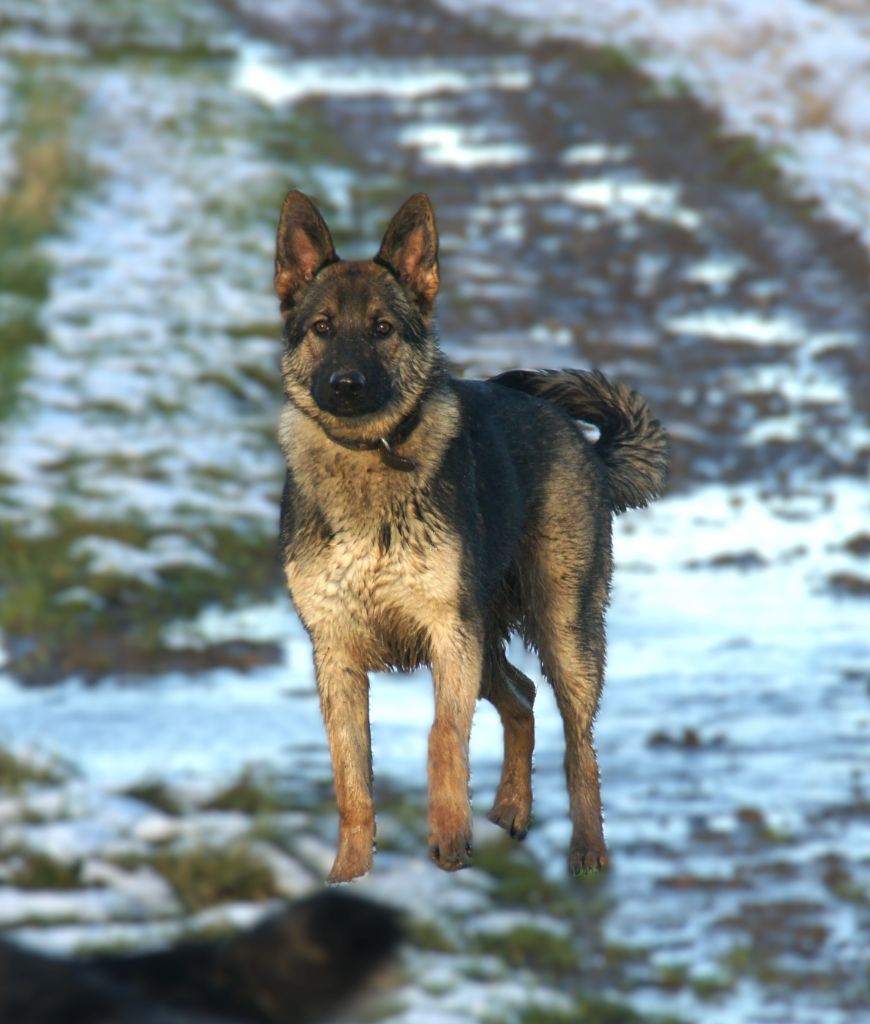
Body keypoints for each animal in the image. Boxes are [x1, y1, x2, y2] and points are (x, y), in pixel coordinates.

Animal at [274, 190, 667, 880]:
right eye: (321, 328)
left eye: (382, 328)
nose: (346, 385)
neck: (366, 461)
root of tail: (583, 441)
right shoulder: (335, 652)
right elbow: (351, 774)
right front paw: (349, 872)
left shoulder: (447, 634)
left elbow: (442, 736)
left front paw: (449, 839)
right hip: (489, 644)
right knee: (523, 696)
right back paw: (511, 809)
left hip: (562, 633)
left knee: (579, 744)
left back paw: (586, 848)